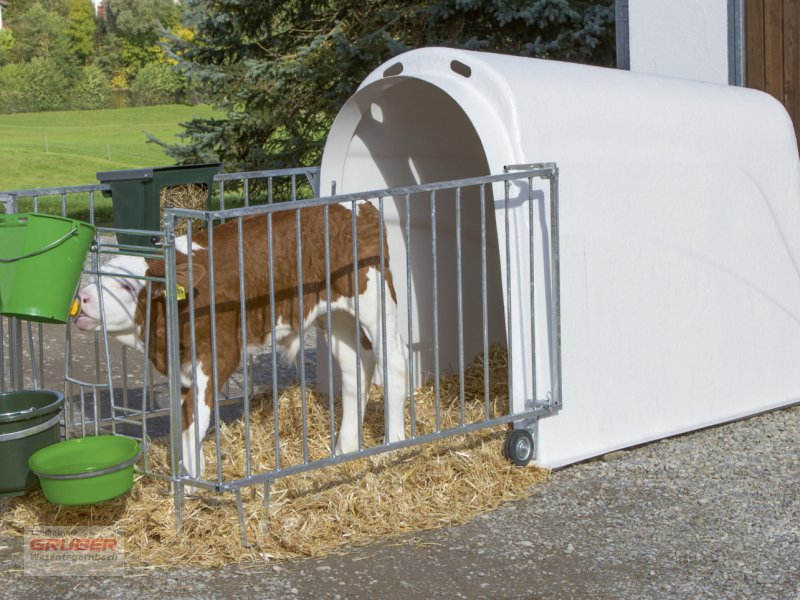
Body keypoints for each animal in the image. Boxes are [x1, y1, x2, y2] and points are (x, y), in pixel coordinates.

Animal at [74, 205, 406, 482]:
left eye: (127, 286)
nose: (83, 298)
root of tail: (357, 207)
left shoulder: (218, 352)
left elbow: (196, 417)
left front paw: (192, 485)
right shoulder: (181, 365)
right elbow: (184, 419)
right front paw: (191, 474)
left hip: (374, 299)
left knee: (394, 362)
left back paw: (394, 445)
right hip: (335, 314)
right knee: (356, 366)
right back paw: (346, 449)